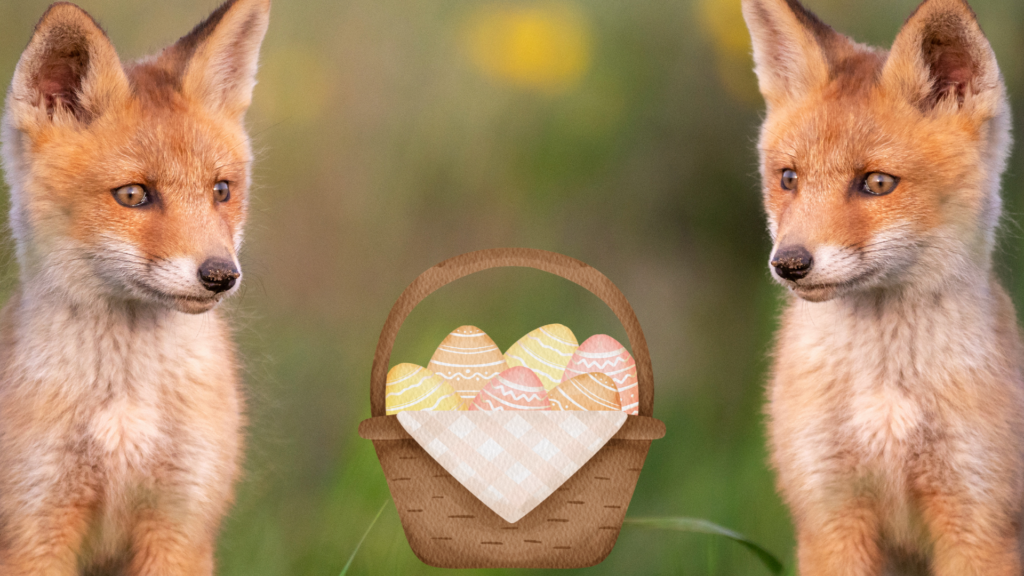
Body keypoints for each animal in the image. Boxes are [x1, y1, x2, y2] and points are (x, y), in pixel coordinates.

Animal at [0, 0, 269, 574]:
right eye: (132, 195)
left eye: (221, 190)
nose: (221, 275)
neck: (125, 409)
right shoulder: (33, 528)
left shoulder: (181, 523)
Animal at [741, 0, 1022, 574]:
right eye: (788, 178)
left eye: (876, 183)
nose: (789, 263)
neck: (885, 396)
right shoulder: (830, 514)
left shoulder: (981, 520)